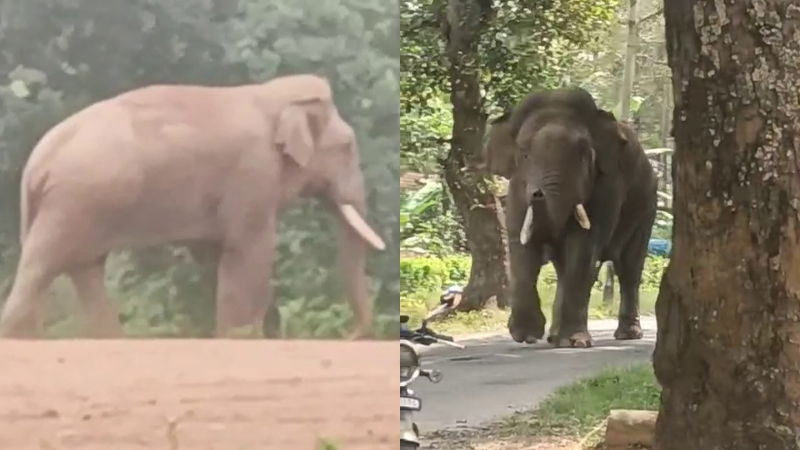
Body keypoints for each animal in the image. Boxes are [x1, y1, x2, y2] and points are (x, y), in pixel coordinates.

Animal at [0, 73, 386, 339]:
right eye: (346, 147)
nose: (350, 335)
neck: (270, 94)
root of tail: (38, 161)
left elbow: (218, 257)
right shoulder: (253, 173)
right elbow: (249, 253)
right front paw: (243, 338)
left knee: (83, 270)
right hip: (74, 202)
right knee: (41, 267)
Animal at [483, 87, 657, 348]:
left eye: (583, 156)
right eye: (524, 155)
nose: (537, 193)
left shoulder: (608, 186)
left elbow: (584, 246)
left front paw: (575, 342)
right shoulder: (516, 189)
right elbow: (521, 246)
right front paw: (526, 336)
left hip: (646, 206)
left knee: (629, 269)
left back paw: (626, 335)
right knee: (564, 270)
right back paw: (556, 339)